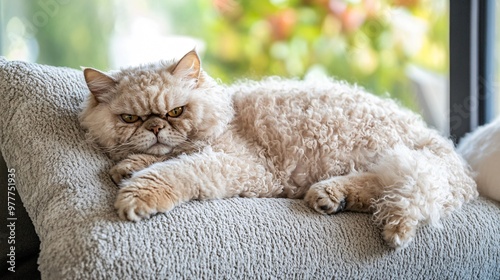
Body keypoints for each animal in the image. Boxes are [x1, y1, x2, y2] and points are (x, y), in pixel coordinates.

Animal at [80, 49, 478, 247]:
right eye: (131, 118)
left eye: (176, 112)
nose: (156, 127)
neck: (227, 114)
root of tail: (445, 149)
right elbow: (160, 158)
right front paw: (129, 165)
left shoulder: (247, 169)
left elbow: (177, 168)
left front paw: (137, 193)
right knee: (376, 189)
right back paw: (330, 197)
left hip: (392, 155)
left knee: (389, 188)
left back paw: (332, 196)